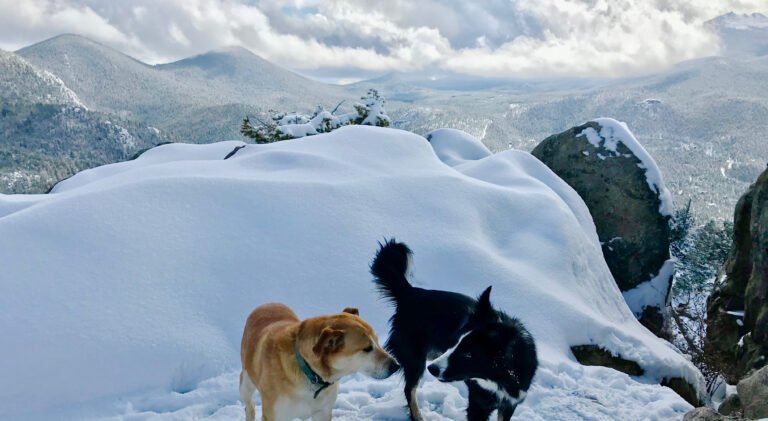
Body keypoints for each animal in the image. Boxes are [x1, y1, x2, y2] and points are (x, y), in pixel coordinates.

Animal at [240, 302, 400, 420]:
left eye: (378, 342)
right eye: (367, 348)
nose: (396, 366)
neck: (310, 374)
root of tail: (268, 303)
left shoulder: (323, 412)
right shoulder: (275, 415)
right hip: (246, 383)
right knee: (249, 406)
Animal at [370, 240, 536, 420]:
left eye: (467, 354)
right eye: (454, 343)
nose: (432, 369)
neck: (500, 378)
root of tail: (411, 293)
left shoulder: (510, 403)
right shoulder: (478, 402)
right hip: (415, 357)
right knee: (409, 390)